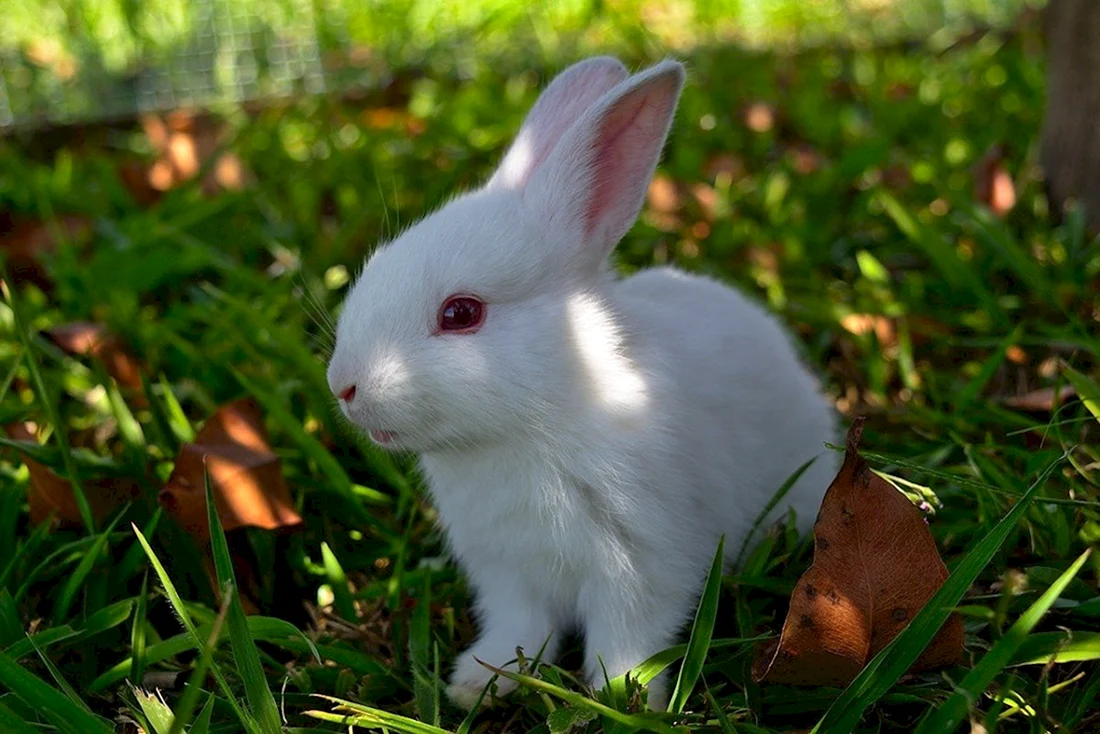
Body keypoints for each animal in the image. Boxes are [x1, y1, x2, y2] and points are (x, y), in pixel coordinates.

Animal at [326, 56, 839, 711]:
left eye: (461, 313)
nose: (344, 386)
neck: (538, 419)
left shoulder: (639, 565)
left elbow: (628, 637)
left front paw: (623, 697)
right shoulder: (508, 574)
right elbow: (520, 629)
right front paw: (479, 682)